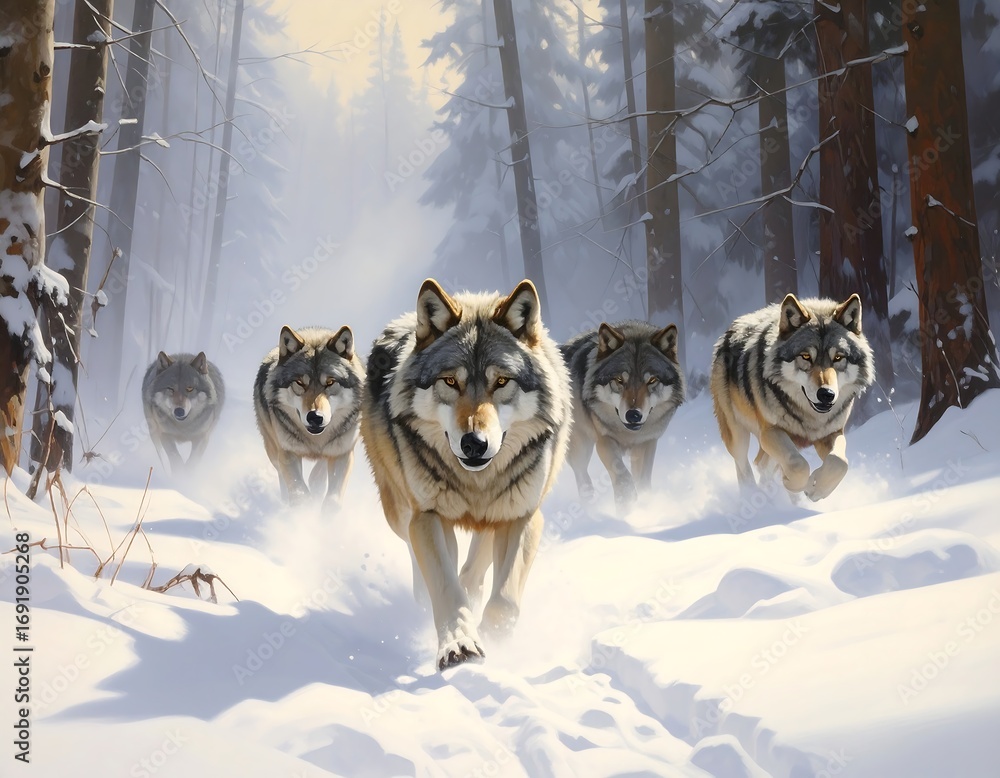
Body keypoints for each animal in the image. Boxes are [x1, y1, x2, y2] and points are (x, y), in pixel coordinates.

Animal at [254, 325, 365, 504]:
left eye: (330, 382)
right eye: (300, 383)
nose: (315, 417)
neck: (315, 441)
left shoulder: (342, 453)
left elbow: (333, 499)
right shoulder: (287, 452)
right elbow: (299, 492)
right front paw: (304, 510)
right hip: (272, 448)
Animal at [361, 279, 571, 670]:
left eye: (501, 381)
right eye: (450, 381)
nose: (474, 443)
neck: (476, 482)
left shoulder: (522, 515)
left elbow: (504, 599)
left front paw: (495, 636)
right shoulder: (428, 516)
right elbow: (446, 587)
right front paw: (459, 645)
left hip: (500, 509)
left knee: (477, 559)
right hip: (398, 508)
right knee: (417, 549)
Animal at [561, 321, 685, 513]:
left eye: (652, 380)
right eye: (619, 380)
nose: (633, 415)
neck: (629, 433)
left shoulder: (647, 443)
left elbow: (643, 480)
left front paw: (645, 504)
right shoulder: (604, 440)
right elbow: (621, 472)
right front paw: (626, 504)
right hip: (580, 446)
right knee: (581, 475)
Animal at [711, 293, 875, 501]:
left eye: (838, 358)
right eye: (805, 356)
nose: (826, 394)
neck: (811, 418)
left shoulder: (832, 433)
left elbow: (840, 462)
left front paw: (816, 489)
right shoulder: (770, 431)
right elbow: (798, 464)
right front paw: (796, 484)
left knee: (762, 464)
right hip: (737, 435)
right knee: (744, 467)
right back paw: (753, 495)